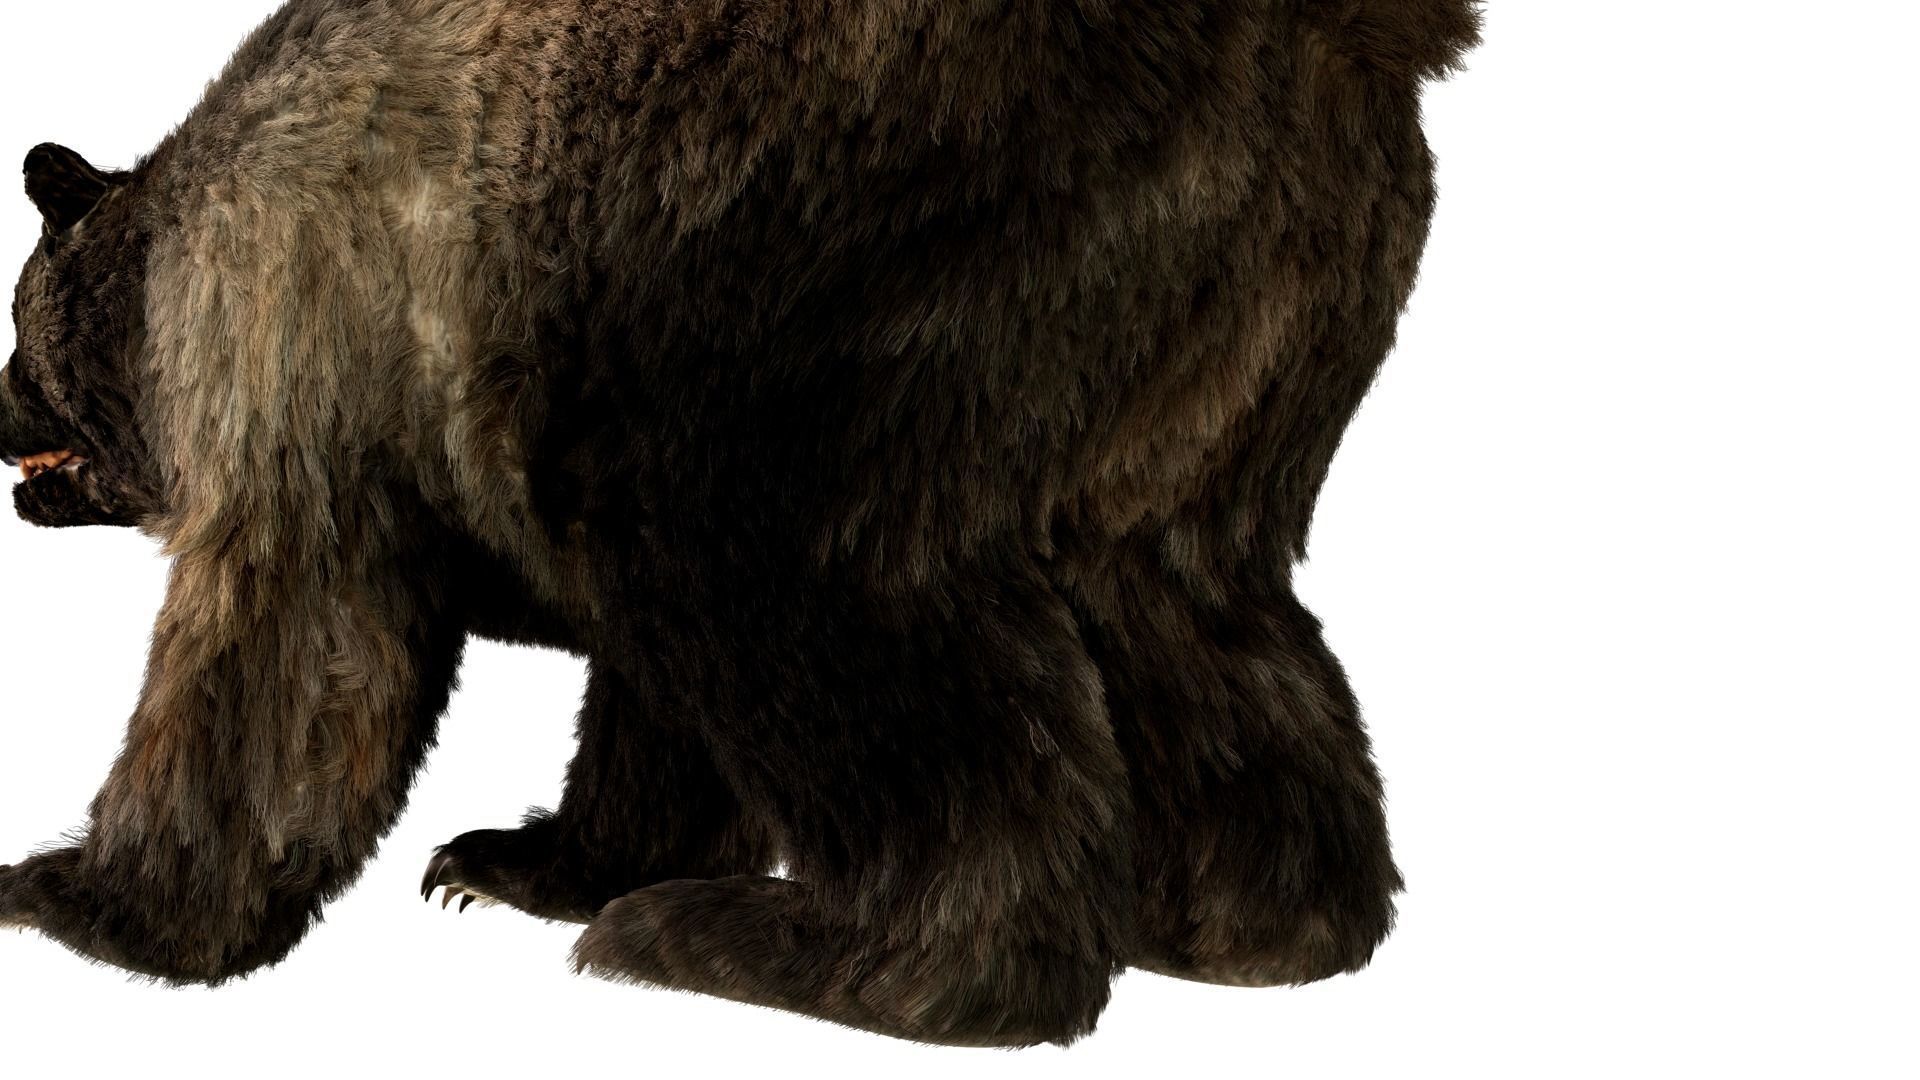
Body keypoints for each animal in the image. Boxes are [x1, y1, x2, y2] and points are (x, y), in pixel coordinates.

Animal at [0, 0, 1477, 1047]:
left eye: (15, 321)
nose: (2, 423)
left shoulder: (301, 339)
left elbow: (284, 650)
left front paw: (74, 892)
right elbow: (643, 700)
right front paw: (527, 859)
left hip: (849, 254)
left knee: (810, 590)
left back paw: (808, 950)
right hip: (1233, 319)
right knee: (1189, 602)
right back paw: (1247, 922)